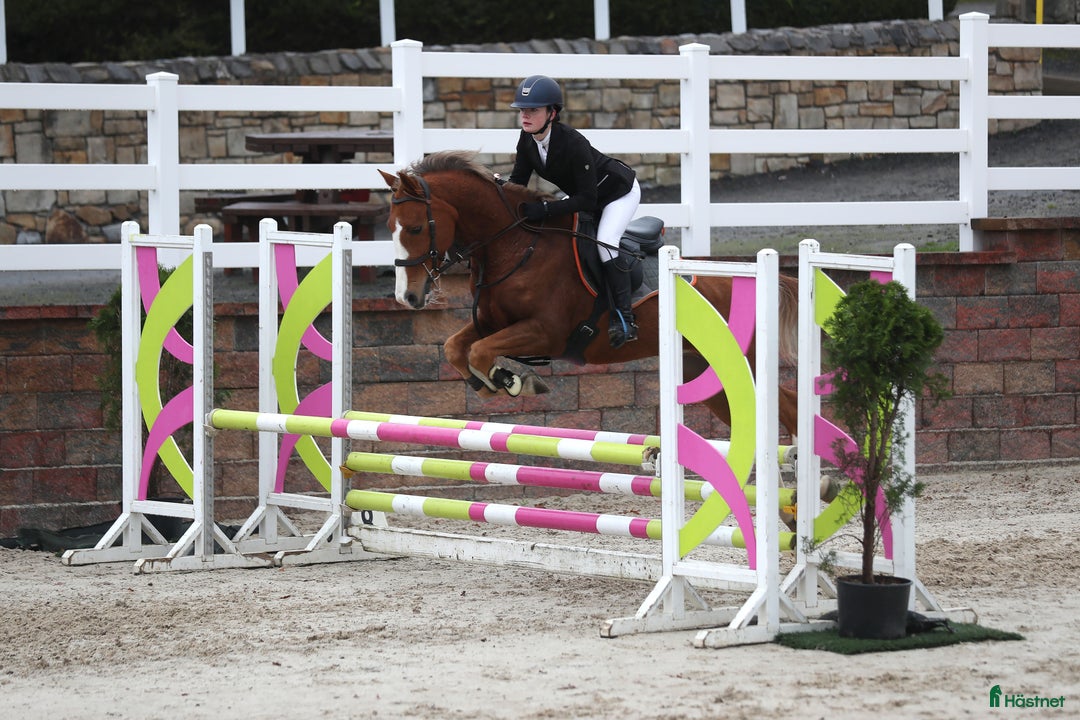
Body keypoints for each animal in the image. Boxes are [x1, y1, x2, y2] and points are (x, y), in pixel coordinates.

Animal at [378, 151, 800, 436]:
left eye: (415, 228)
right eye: (389, 225)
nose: (407, 298)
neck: (516, 246)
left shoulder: (547, 332)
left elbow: (481, 352)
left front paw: (513, 381)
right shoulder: (492, 322)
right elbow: (455, 348)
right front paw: (491, 384)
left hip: (745, 365)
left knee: (789, 409)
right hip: (706, 372)